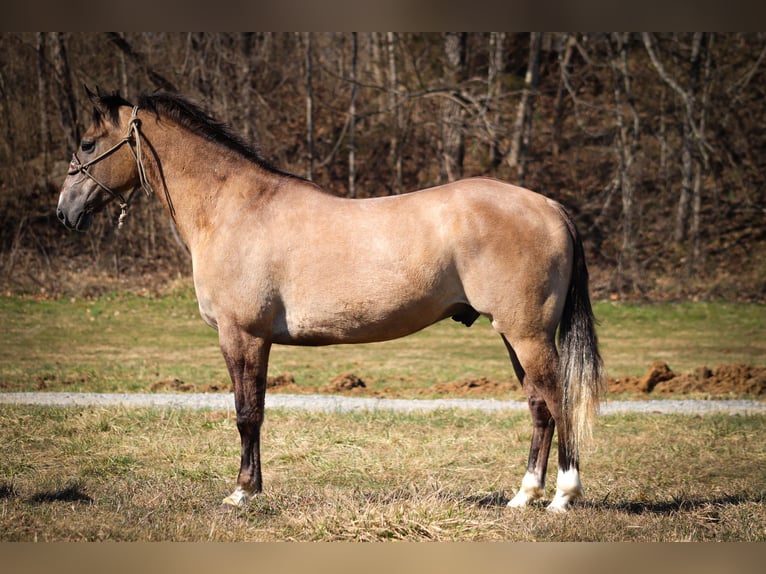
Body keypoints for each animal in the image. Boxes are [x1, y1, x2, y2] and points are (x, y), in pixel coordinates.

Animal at [57, 89, 608, 512]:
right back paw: (523, 496)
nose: (64, 211)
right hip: (515, 336)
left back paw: (563, 496)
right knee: (539, 407)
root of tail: (549, 206)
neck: (234, 208)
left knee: (557, 400)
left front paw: (242, 493)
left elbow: (246, 413)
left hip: (528, 333)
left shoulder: (242, 335)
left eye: (87, 142)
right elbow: (255, 410)